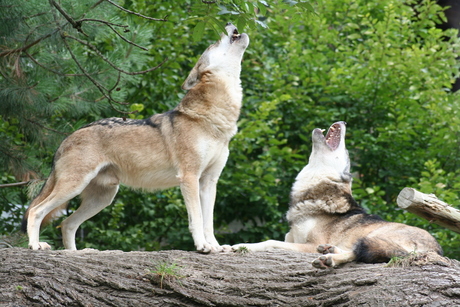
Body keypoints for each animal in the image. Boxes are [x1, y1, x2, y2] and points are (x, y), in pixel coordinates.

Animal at [23, 24, 250, 254]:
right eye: (215, 42)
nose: (229, 24)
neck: (214, 121)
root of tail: (68, 137)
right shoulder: (189, 177)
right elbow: (196, 219)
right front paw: (202, 246)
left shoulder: (209, 182)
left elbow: (208, 222)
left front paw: (216, 246)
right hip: (75, 187)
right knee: (36, 210)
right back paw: (36, 245)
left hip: (102, 198)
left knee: (66, 224)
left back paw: (76, 253)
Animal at [234, 121, 442, 268]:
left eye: (347, 154)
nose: (344, 121)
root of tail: (437, 249)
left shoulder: (309, 245)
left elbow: (270, 242)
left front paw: (237, 246)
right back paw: (329, 251)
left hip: (375, 237)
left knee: (362, 253)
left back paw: (329, 259)